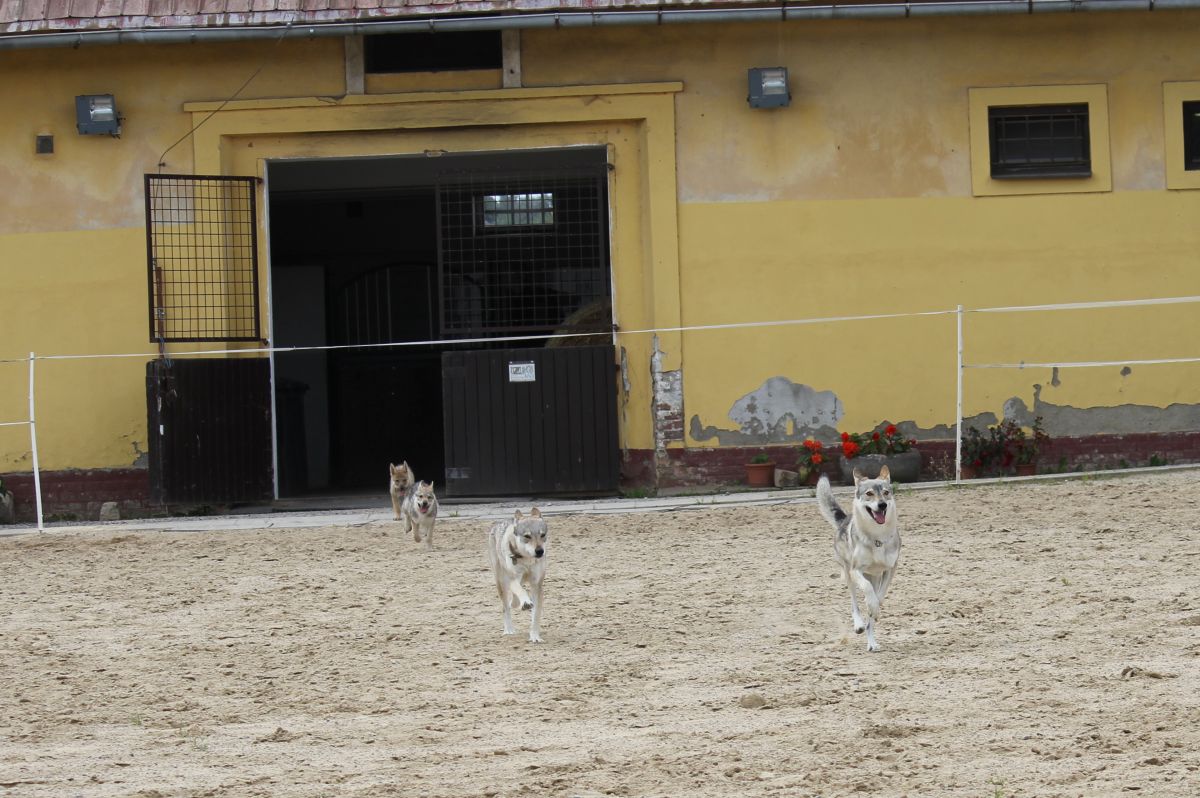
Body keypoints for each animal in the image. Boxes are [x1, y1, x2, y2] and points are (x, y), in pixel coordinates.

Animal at [484, 506, 549, 643]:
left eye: (542, 535)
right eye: (527, 536)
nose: (540, 551)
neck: (527, 559)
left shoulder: (537, 585)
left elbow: (536, 615)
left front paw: (535, 637)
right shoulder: (511, 578)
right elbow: (520, 591)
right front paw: (525, 602)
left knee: (512, 600)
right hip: (501, 582)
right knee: (505, 608)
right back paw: (509, 629)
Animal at [816, 463, 902, 652]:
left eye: (886, 492)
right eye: (869, 494)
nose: (882, 505)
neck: (877, 537)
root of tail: (844, 519)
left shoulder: (889, 570)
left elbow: (879, 596)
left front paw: (874, 609)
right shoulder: (856, 570)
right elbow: (867, 590)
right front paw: (870, 606)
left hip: (874, 576)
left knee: (870, 617)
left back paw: (872, 643)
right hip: (848, 573)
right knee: (854, 603)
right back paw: (859, 625)